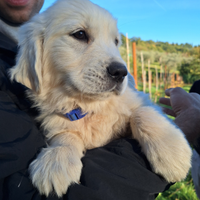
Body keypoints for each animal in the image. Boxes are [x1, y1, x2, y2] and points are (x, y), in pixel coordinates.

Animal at [10, 0, 191, 197]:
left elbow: (143, 112)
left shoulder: (140, 98)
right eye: (80, 34)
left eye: (116, 41)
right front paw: (55, 161)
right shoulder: (57, 120)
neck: (89, 105)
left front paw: (172, 154)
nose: (121, 72)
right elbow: (65, 134)